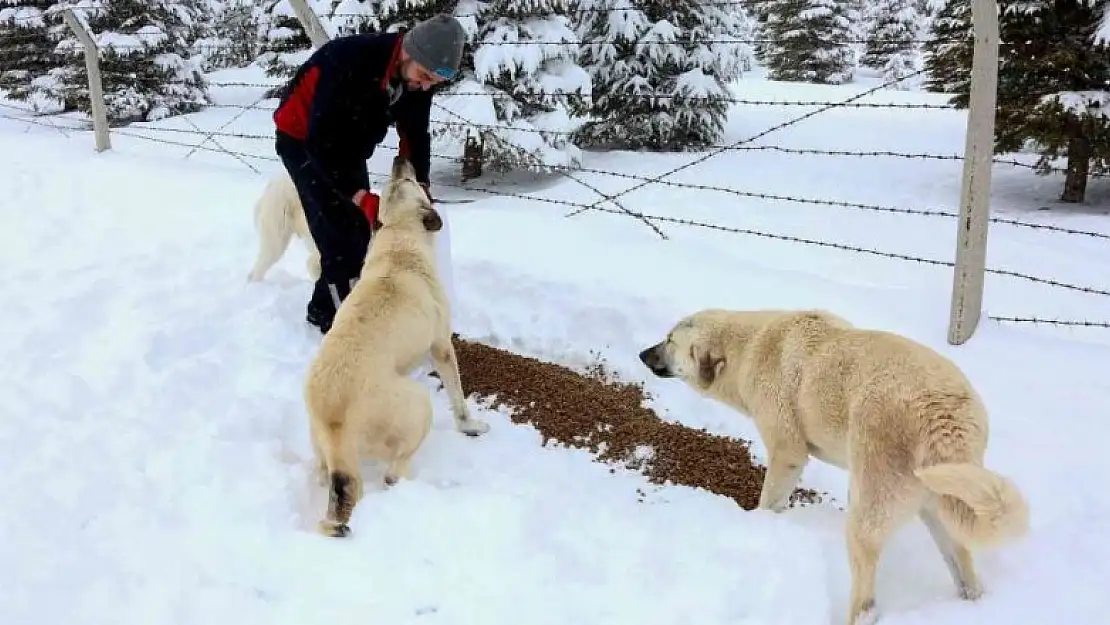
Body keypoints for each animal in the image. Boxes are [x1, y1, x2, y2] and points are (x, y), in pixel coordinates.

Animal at [306, 155, 492, 537]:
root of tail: (335, 421)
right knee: (393, 474)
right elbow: (458, 397)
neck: (398, 237)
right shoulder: (442, 347)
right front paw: (470, 426)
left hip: (320, 449)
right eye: (411, 182)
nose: (399, 158)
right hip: (419, 405)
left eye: (394, 182)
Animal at [643, 308, 1030, 625]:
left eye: (669, 340)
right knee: (963, 565)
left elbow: (771, 494)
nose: (643, 354)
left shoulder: (787, 448)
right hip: (944, 498)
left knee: (866, 589)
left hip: (872, 492)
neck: (748, 347)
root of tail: (945, 418)